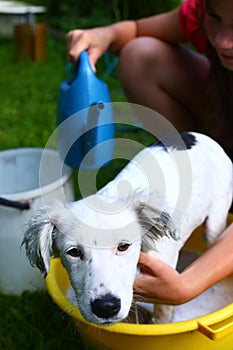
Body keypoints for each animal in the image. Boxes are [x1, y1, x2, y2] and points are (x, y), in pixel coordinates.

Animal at [23, 132, 231, 326]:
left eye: (123, 246)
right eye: (74, 252)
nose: (106, 307)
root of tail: (196, 135)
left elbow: (163, 312)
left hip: (216, 217)